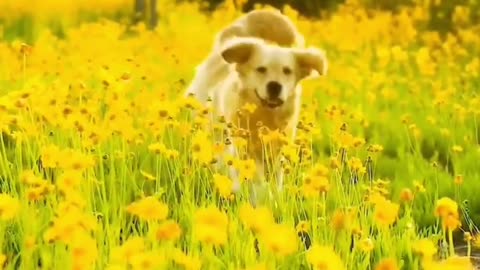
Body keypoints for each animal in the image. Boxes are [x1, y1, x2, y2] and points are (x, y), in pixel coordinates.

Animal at [186, 9, 328, 206]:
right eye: (261, 69)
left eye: (287, 71)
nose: (274, 86)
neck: (264, 117)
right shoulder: (245, 149)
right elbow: (254, 179)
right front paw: (258, 199)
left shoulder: (277, 151)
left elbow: (274, 179)